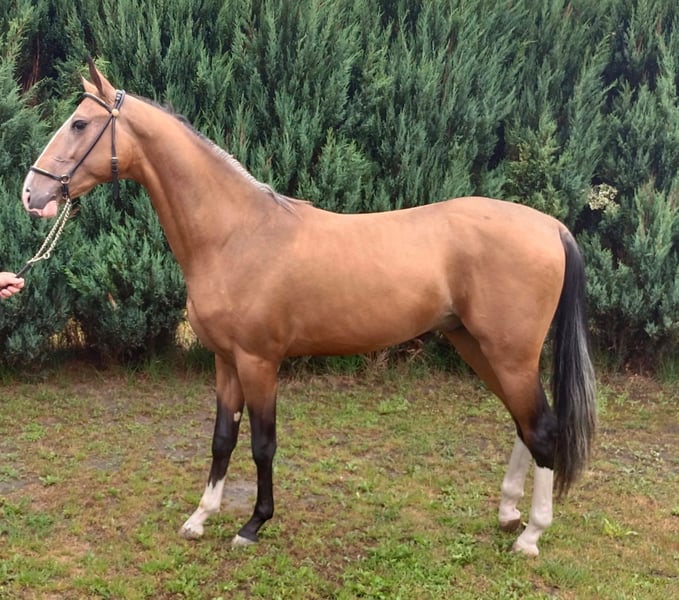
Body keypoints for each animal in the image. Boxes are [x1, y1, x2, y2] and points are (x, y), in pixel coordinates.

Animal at [21, 61, 596, 557]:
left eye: (79, 123)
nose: (31, 193)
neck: (236, 234)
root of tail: (550, 226)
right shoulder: (225, 360)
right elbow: (222, 438)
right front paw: (200, 517)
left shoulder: (259, 362)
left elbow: (262, 444)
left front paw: (253, 524)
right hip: (478, 346)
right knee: (525, 424)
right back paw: (508, 514)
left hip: (508, 354)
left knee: (543, 429)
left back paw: (530, 536)